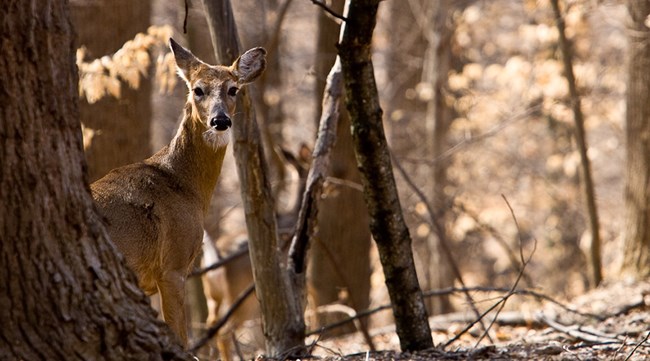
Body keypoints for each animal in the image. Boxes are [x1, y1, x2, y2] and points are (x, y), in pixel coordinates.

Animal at [90, 38, 266, 344]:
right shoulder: (173, 264)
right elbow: (181, 338)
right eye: (198, 89)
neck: (183, 185)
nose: (220, 120)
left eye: (233, 89)